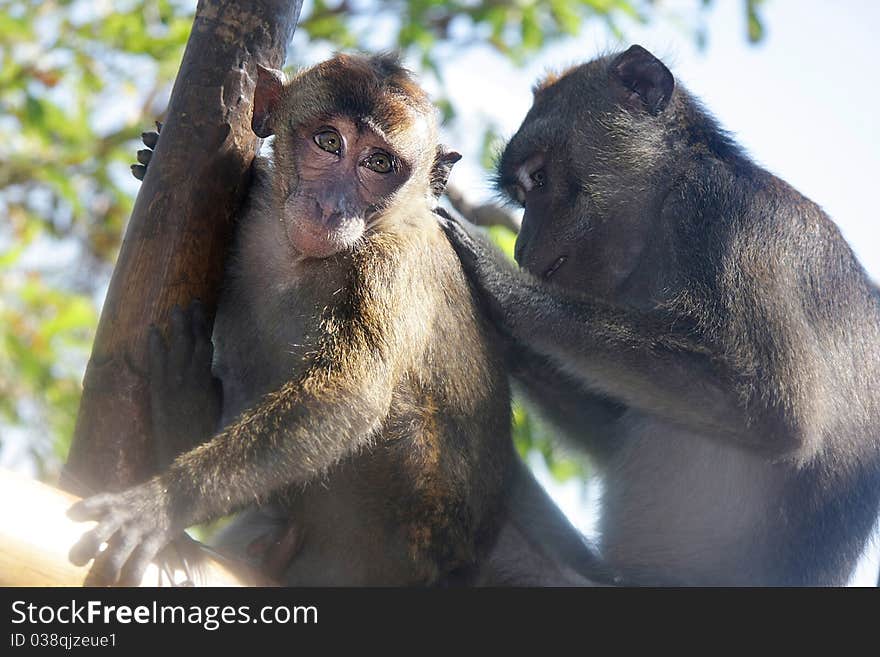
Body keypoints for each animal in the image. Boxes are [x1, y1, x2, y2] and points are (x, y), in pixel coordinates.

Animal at [70, 51, 604, 584]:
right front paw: (151, 154)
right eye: (329, 142)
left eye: (378, 163)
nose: (331, 207)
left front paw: (163, 503)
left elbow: (350, 393)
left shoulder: (392, 260)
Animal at [444, 46, 880, 584]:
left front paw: (501, 286)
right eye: (523, 195)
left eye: (539, 179)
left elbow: (771, 407)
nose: (522, 248)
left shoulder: (718, 213)